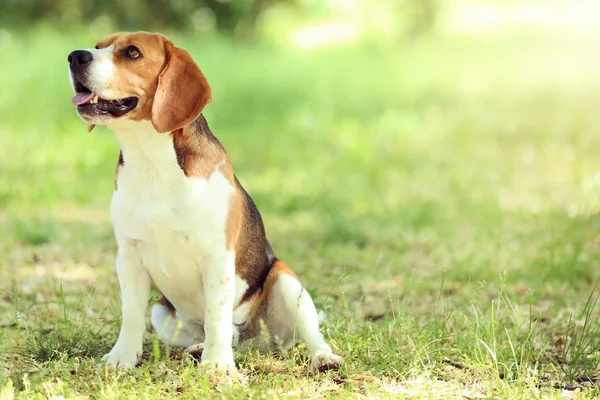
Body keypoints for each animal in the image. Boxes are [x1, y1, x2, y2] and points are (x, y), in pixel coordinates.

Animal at [67, 32, 342, 374]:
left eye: (132, 53)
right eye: (97, 46)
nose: (75, 56)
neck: (152, 161)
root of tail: (252, 339)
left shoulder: (217, 258)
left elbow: (217, 318)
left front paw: (218, 365)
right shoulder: (129, 256)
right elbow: (131, 314)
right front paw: (122, 357)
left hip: (288, 283)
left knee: (307, 333)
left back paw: (323, 358)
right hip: (162, 312)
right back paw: (198, 348)